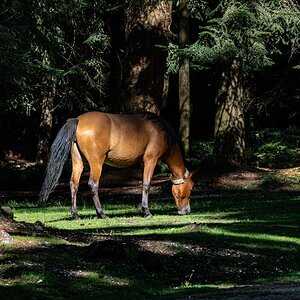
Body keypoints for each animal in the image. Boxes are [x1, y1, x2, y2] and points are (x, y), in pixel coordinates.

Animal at [39, 112, 195, 218]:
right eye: (191, 187)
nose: (186, 210)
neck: (162, 132)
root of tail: (78, 119)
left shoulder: (142, 164)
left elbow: (142, 184)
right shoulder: (151, 160)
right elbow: (146, 184)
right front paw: (146, 211)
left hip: (78, 162)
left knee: (73, 184)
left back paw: (75, 214)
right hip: (96, 163)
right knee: (93, 184)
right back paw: (101, 213)